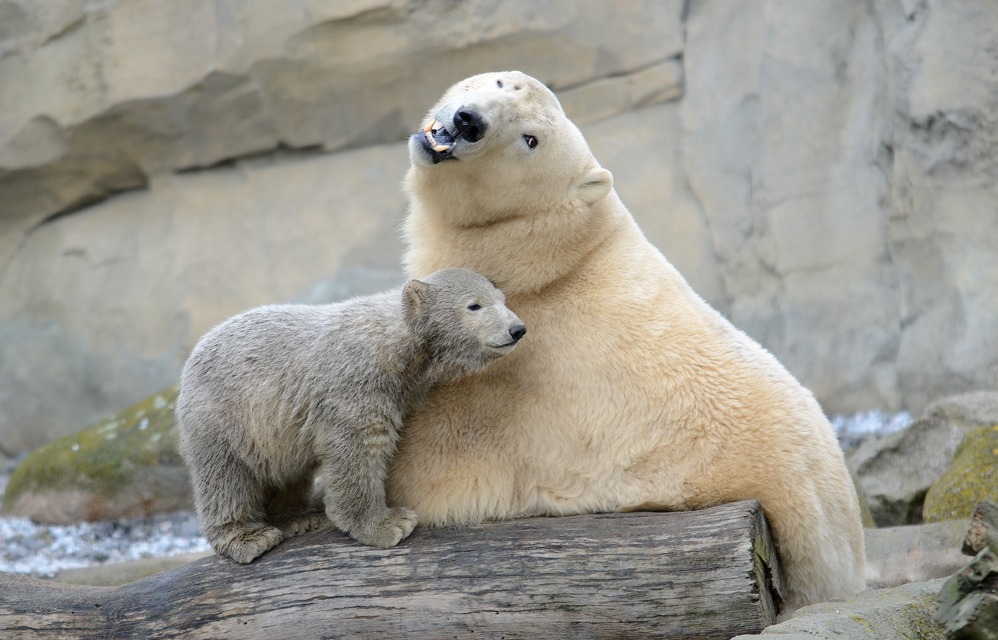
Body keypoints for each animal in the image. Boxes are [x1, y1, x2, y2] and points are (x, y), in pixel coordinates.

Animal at [177, 268, 528, 564]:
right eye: (474, 305)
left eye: (502, 299)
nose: (518, 329)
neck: (394, 347)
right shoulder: (354, 386)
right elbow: (357, 451)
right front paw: (388, 525)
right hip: (222, 417)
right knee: (225, 477)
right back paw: (248, 537)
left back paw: (298, 518)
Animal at [386, 71, 872, 608]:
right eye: (501, 82)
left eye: (530, 140)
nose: (469, 121)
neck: (548, 260)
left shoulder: (501, 382)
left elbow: (422, 467)